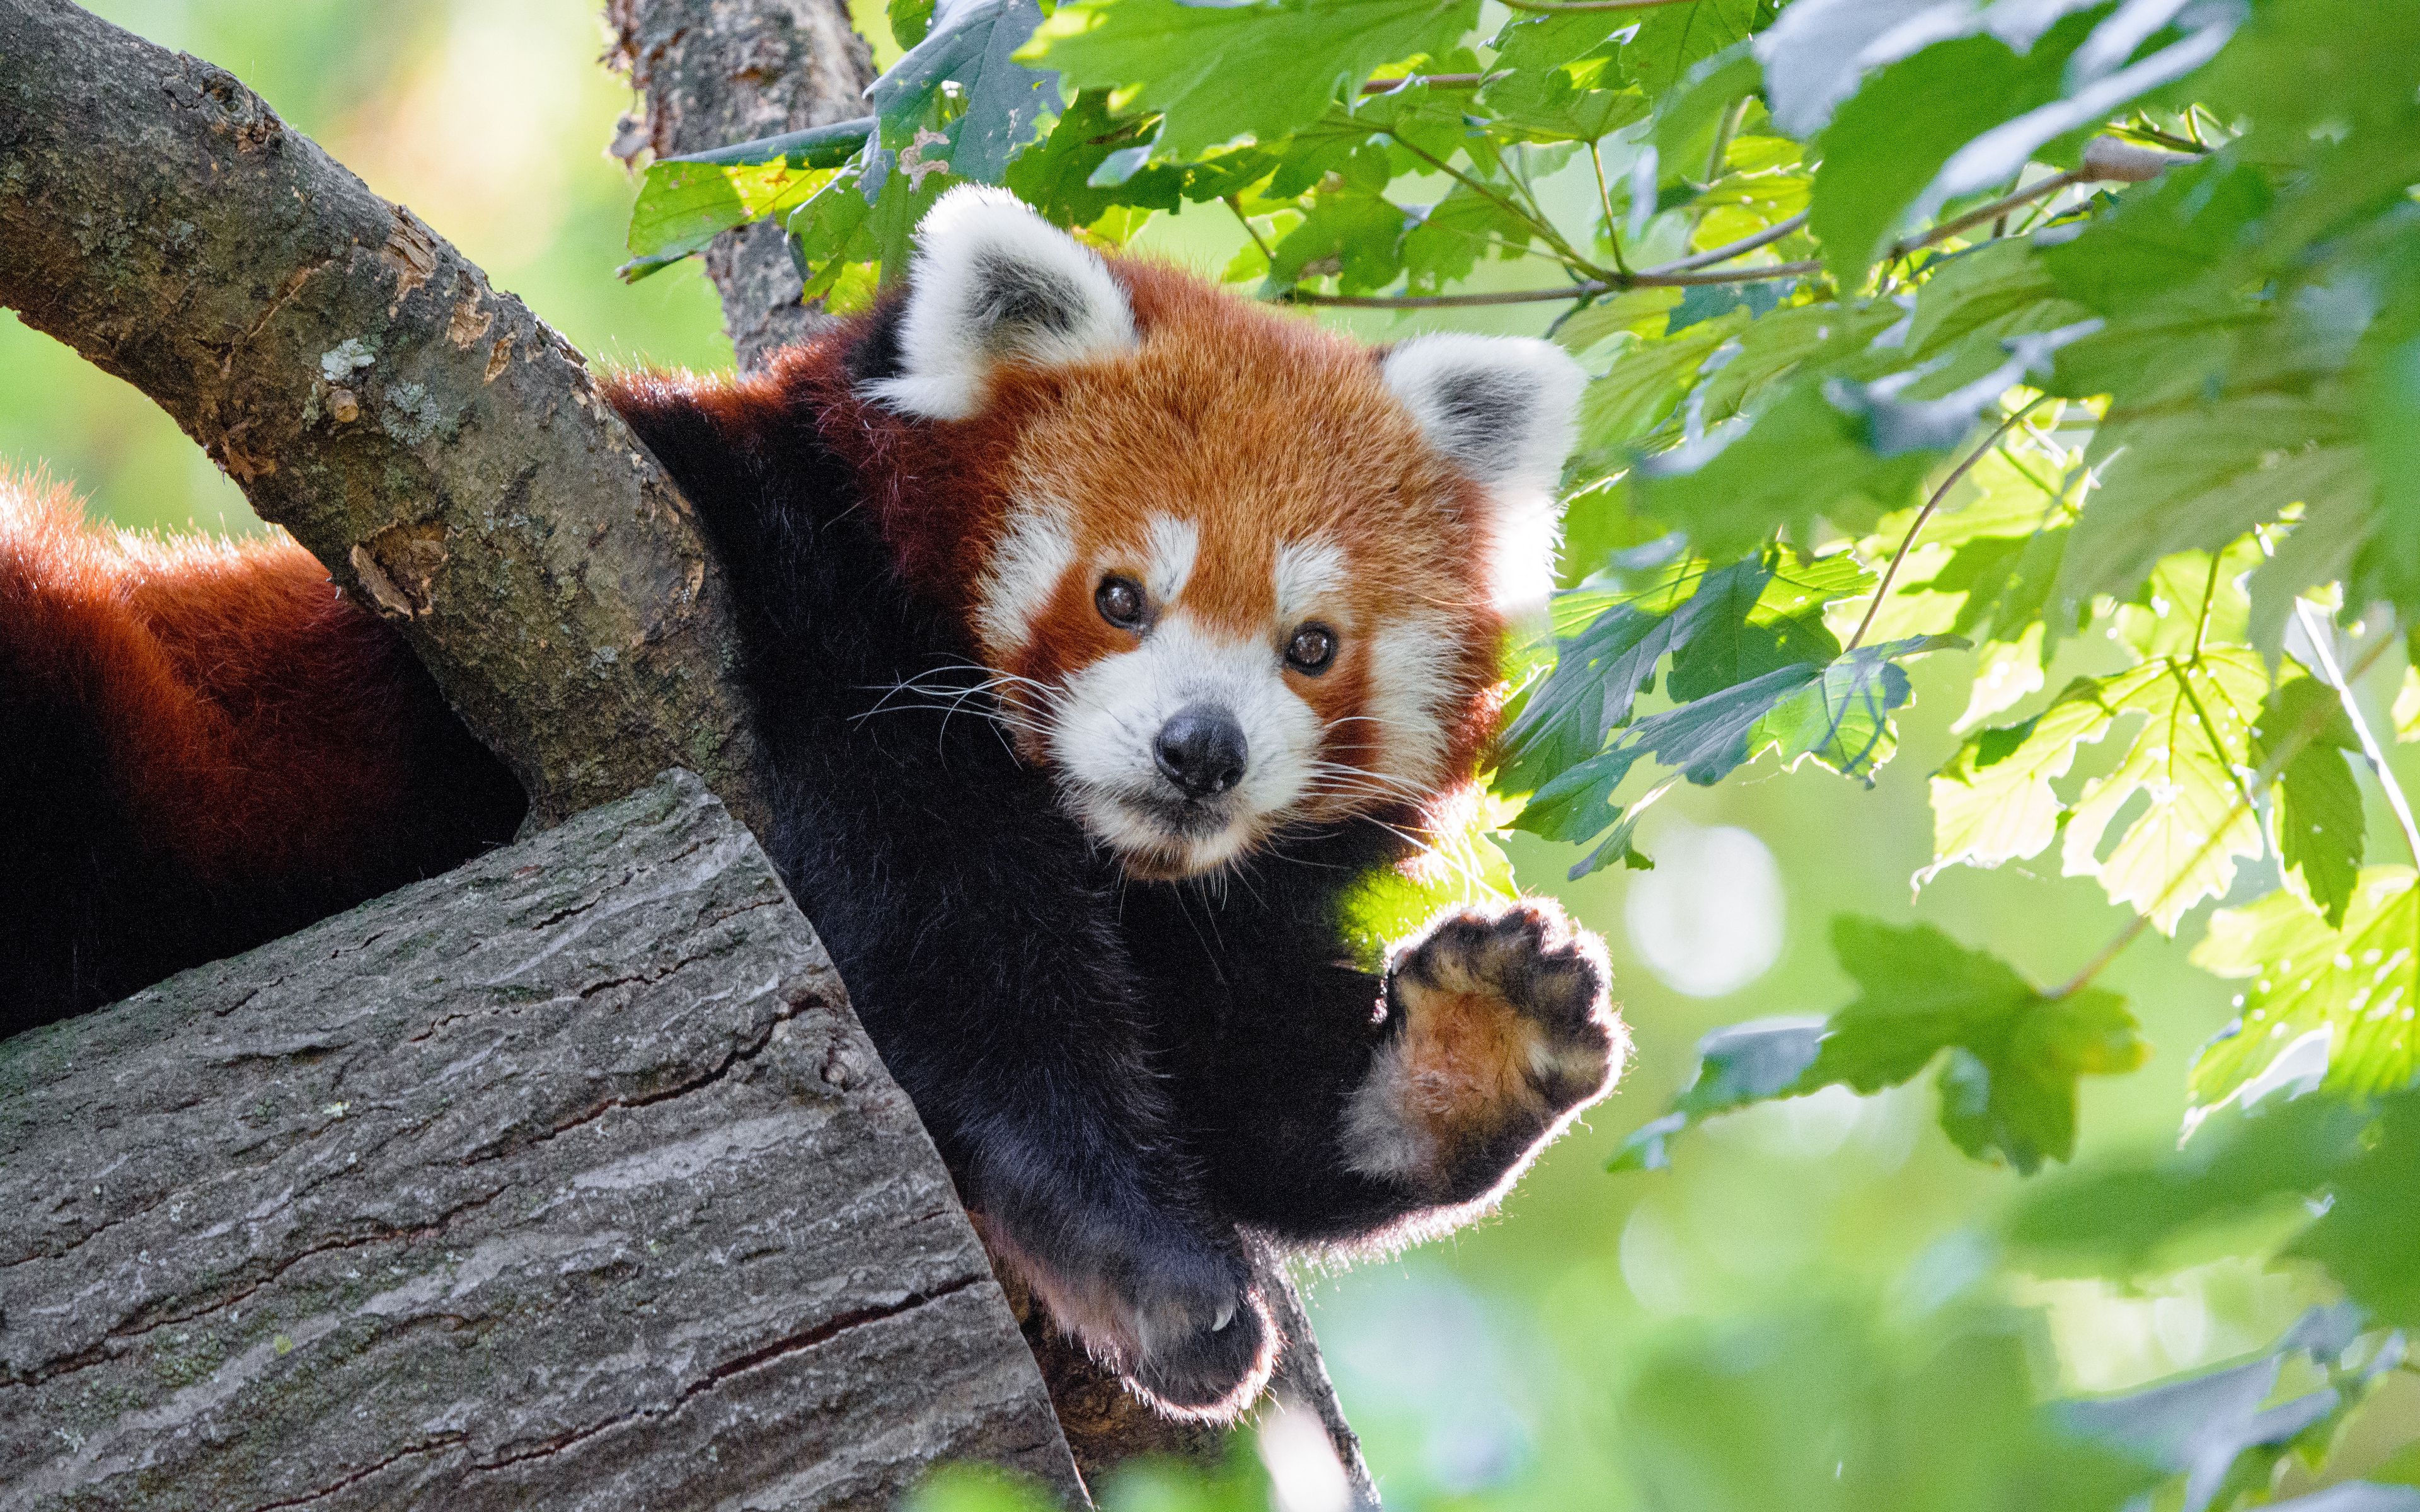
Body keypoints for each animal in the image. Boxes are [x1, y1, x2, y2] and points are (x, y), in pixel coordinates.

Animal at [0, 186, 1625, 1418]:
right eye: (1120, 596)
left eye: (1310, 646)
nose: (1200, 750)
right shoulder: (809, 616)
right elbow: (964, 965)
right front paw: (1145, 1268)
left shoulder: (1177, 913)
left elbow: (1231, 1075)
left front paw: (1469, 1053)